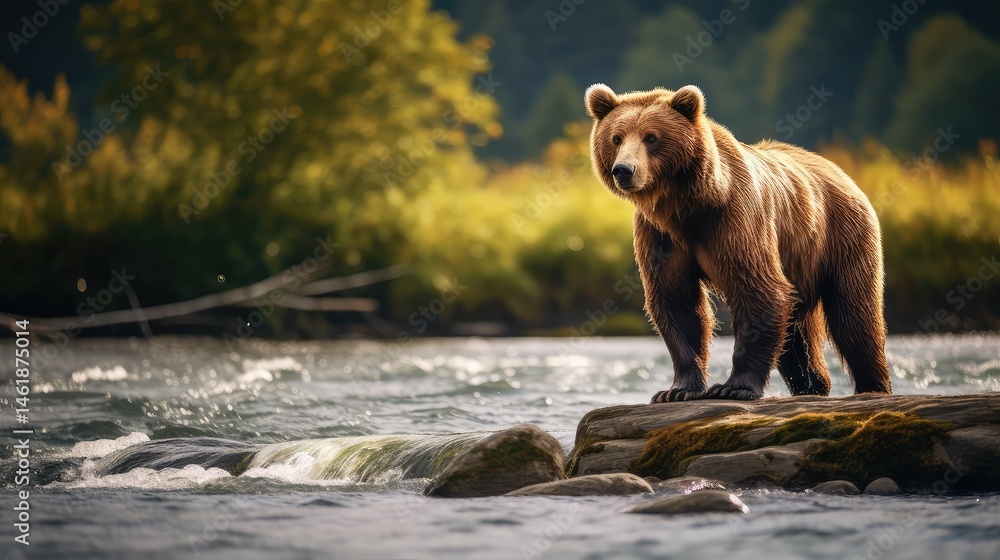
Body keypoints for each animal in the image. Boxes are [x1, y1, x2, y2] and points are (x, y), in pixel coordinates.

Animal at [584, 83, 891, 402]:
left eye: (652, 137)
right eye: (616, 138)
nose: (624, 169)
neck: (688, 206)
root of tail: (840, 171)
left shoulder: (736, 221)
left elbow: (759, 291)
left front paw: (732, 386)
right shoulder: (660, 236)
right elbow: (677, 302)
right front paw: (676, 390)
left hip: (842, 237)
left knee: (854, 318)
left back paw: (872, 386)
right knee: (797, 333)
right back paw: (813, 385)